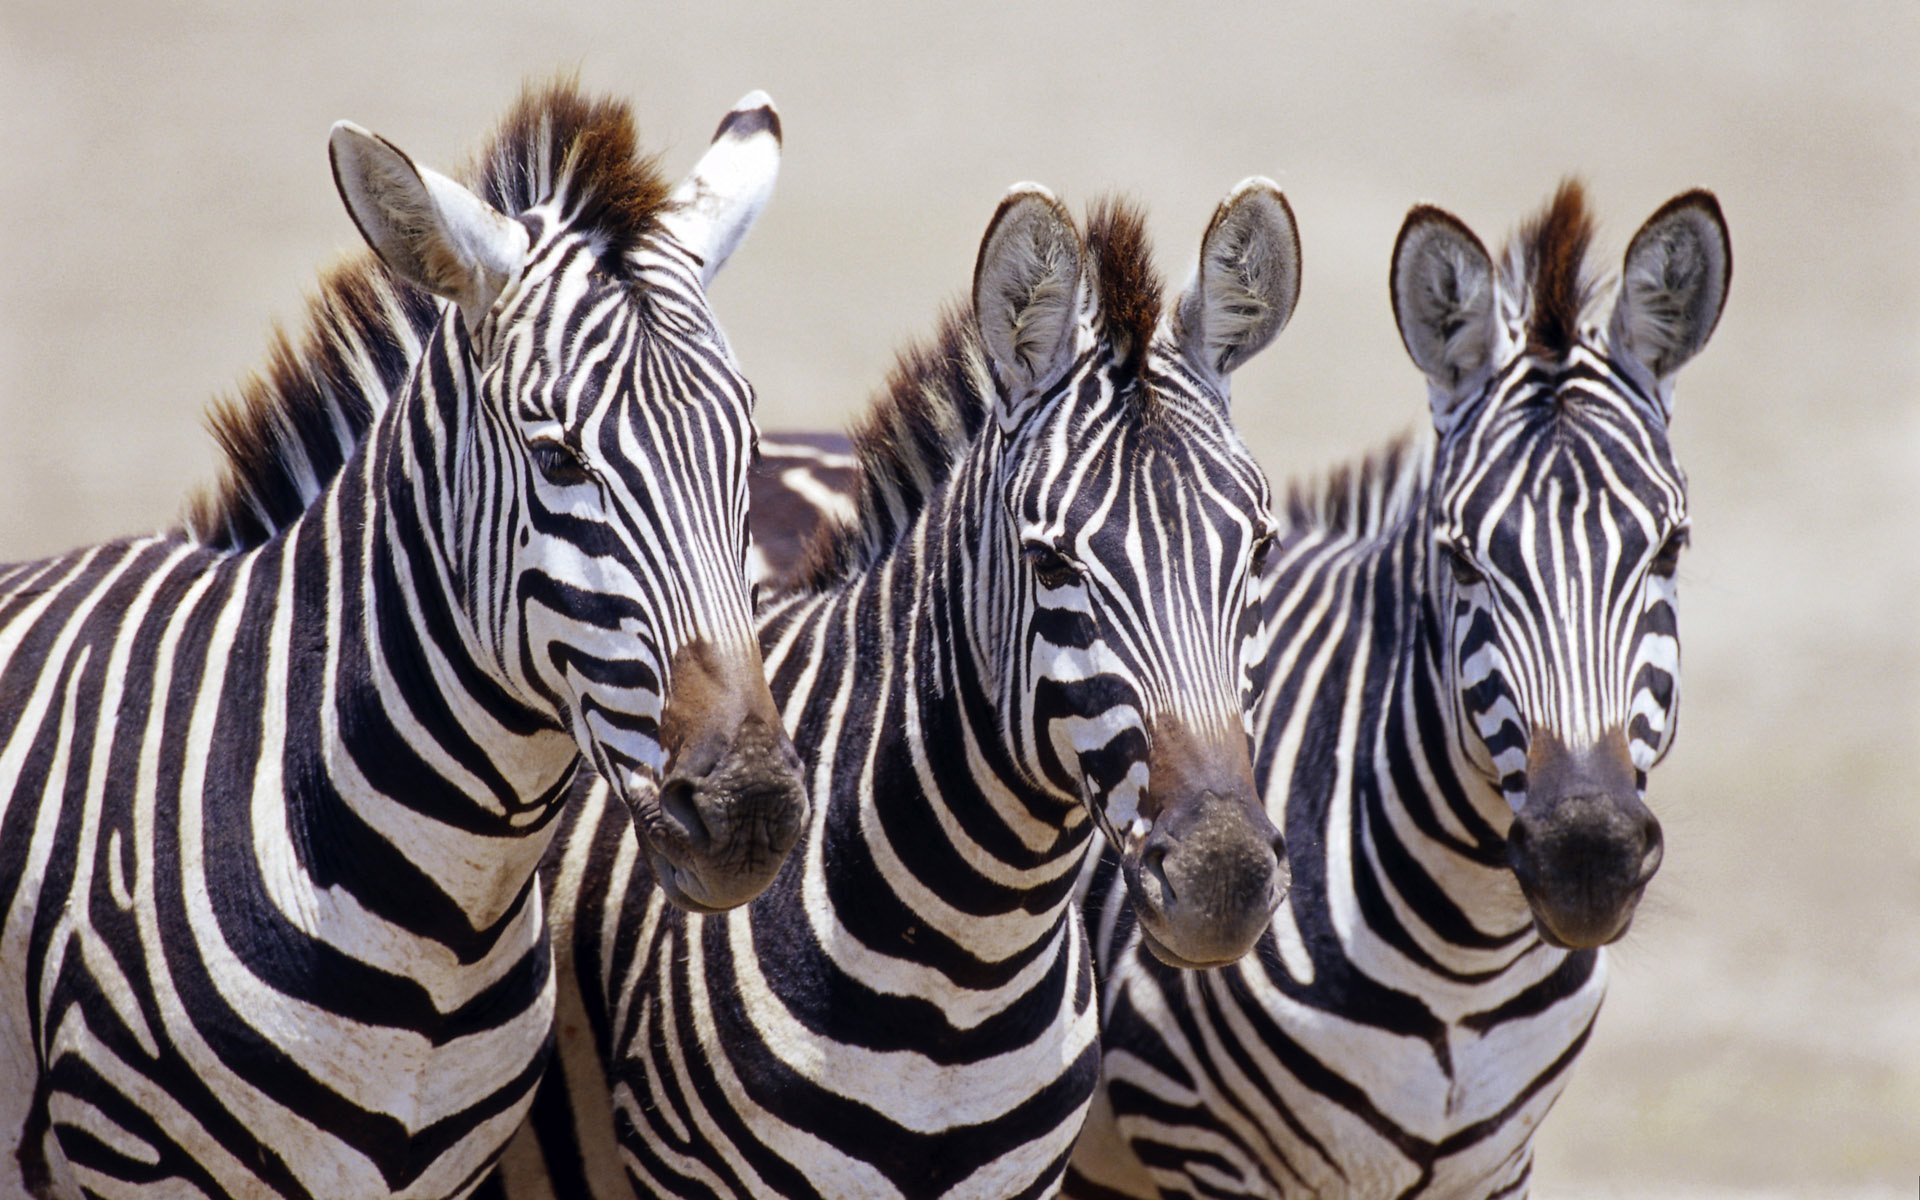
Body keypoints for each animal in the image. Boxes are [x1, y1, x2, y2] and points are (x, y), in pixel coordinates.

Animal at [1068, 182, 1732, 1198]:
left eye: (1669, 549)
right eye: (1461, 559)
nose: (1586, 859)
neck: (1466, 957)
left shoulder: (1497, 1167)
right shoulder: (1204, 1149)